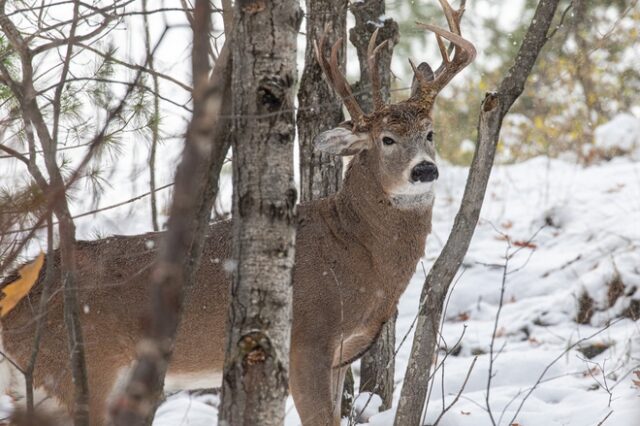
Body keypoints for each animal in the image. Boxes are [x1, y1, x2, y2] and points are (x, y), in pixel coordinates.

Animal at [0, 1, 476, 424]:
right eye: (386, 140)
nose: (425, 169)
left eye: (430, 133)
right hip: (76, 371)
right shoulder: (307, 340)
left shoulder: (342, 354)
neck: (356, 252)